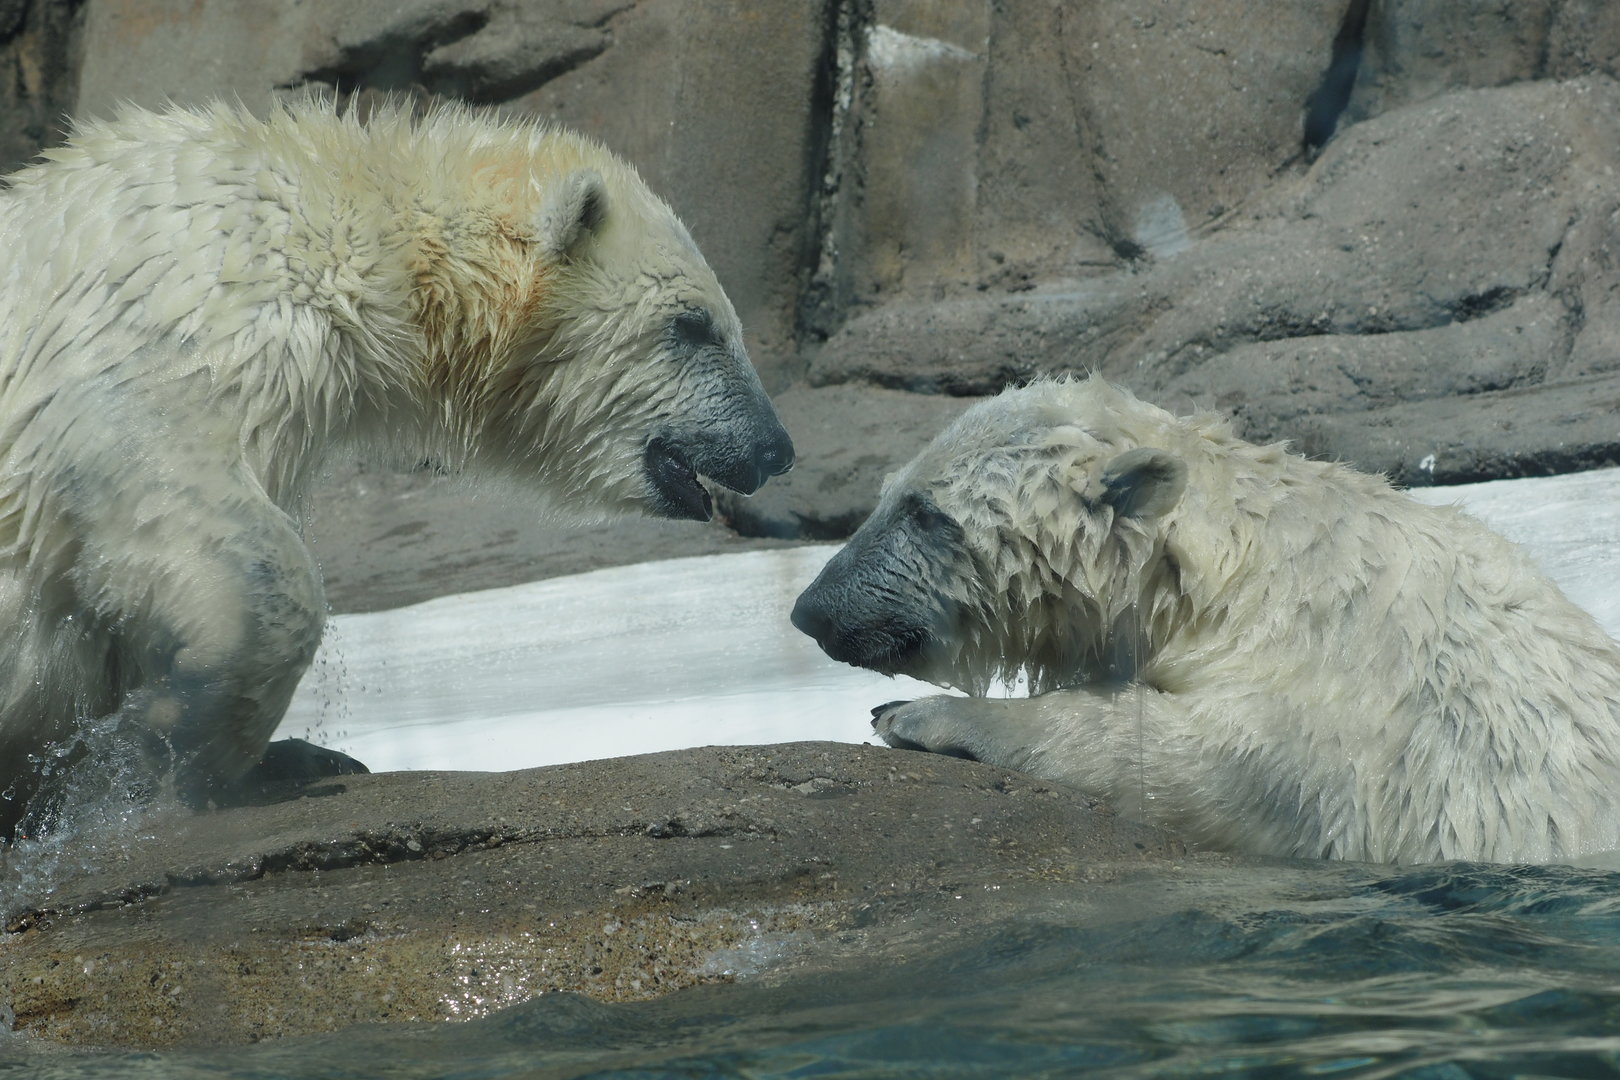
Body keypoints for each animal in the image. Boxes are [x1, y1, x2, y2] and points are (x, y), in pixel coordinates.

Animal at [0, 98, 793, 840]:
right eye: (692, 325)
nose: (776, 448)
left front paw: (284, 756)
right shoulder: (175, 324)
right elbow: (162, 482)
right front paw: (169, 743)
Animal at [792, 376, 1620, 865]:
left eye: (925, 513)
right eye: (887, 494)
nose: (809, 610)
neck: (1232, 575)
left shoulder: (1339, 673)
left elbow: (1213, 760)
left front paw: (915, 713)